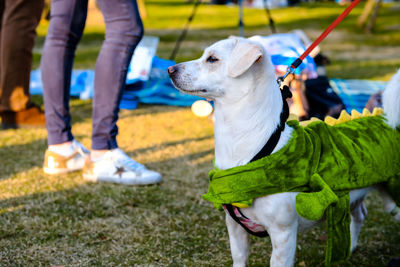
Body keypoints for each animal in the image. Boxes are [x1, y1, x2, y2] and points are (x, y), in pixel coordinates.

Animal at [167, 38, 400, 267]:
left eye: (212, 59)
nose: (170, 69)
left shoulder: (283, 234)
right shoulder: (234, 227)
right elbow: (239, 258)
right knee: (360, 214)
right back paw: (350, 248)